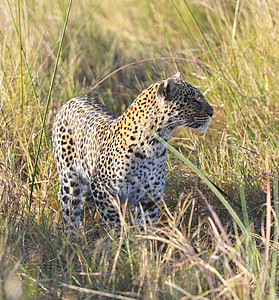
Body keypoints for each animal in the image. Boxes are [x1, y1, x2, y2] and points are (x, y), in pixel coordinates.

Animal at [52, 72, 214, 232]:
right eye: (194, 99)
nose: (212, 112)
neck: (154, 144)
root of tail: (73, 99)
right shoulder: (102, 190)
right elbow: (114, 224)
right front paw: (120, 239)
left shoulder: (150, 198)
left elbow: (146, 228)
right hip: (69, 180)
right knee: (70, 213)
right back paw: (72, 236)